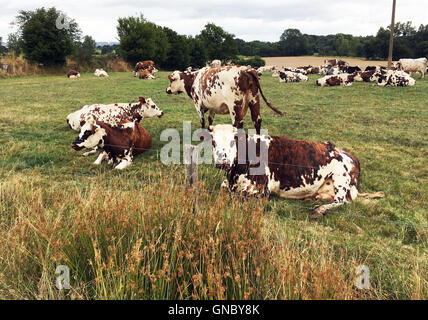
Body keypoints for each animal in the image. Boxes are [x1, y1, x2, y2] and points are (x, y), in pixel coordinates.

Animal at [209, 125, 382, 218]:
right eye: (213, 142)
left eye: (233, 141)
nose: (222, 162)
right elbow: (221, 187)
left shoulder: (262, 189)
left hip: (340, 178)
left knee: (342, 201)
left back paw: (320, 209)